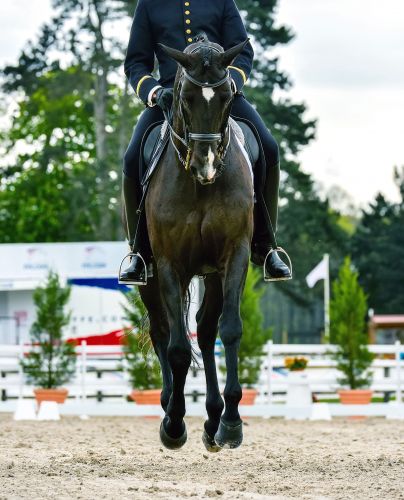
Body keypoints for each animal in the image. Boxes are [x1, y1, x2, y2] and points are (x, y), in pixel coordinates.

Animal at [138, 37, 252, 452]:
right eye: (185, 97)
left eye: (227, 96)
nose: (206, 165)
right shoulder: (168, 264)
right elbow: (176, 347)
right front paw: (174, 423)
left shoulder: (236, 255)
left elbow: (229, 329)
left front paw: (231, 423)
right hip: (150, 276)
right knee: (162, 331)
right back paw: (170, 406)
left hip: (213, 274)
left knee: (204, 330)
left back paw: (215, 418)